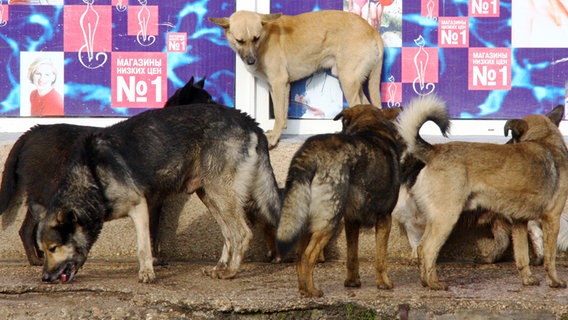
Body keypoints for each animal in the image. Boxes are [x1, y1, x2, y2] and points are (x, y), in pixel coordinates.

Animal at [29, 86, 282, 284]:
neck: (93, 177)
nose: (45, 278)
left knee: (242, 233)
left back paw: (231, 272)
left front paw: (147, 274)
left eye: (54, 248)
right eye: (43, 250)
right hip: (210, 195)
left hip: (220, 194)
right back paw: (220, 267)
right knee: (229, 234)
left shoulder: (140, 207)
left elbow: (144, 247)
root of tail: (249, 121)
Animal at [210, 10, 386, 148]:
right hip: (354, 82)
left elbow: (279, 115)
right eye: (240, 41)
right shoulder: (279, 86)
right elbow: (282, 114)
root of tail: (372, 30)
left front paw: (273, 139)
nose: (251, 61)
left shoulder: (279, 82)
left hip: (348, 81)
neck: (266, 37)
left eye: (256, 38)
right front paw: (277, 134)